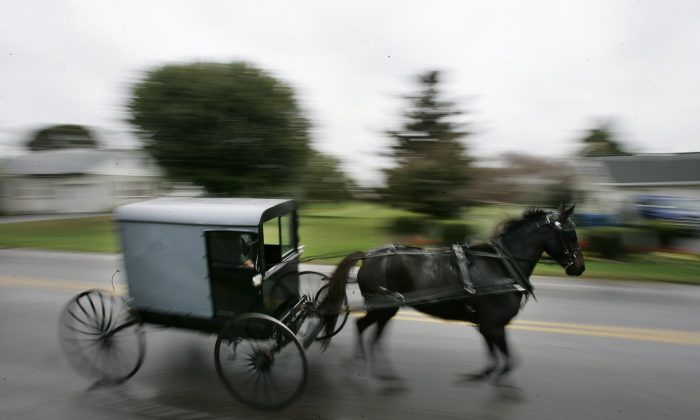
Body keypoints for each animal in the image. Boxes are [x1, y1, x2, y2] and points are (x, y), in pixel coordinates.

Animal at [322, 203, 584, 384]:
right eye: (571, 234)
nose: (580, 267)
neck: (501, 266)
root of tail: (368, 256)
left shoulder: (488, 325)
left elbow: (497, 358)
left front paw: (483, 377)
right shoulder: (493, 324)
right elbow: (506, 360)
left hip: (387, 309)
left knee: (370, 333)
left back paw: (375, 370)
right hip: (384, 307)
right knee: (365, 330)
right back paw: (363, 367)